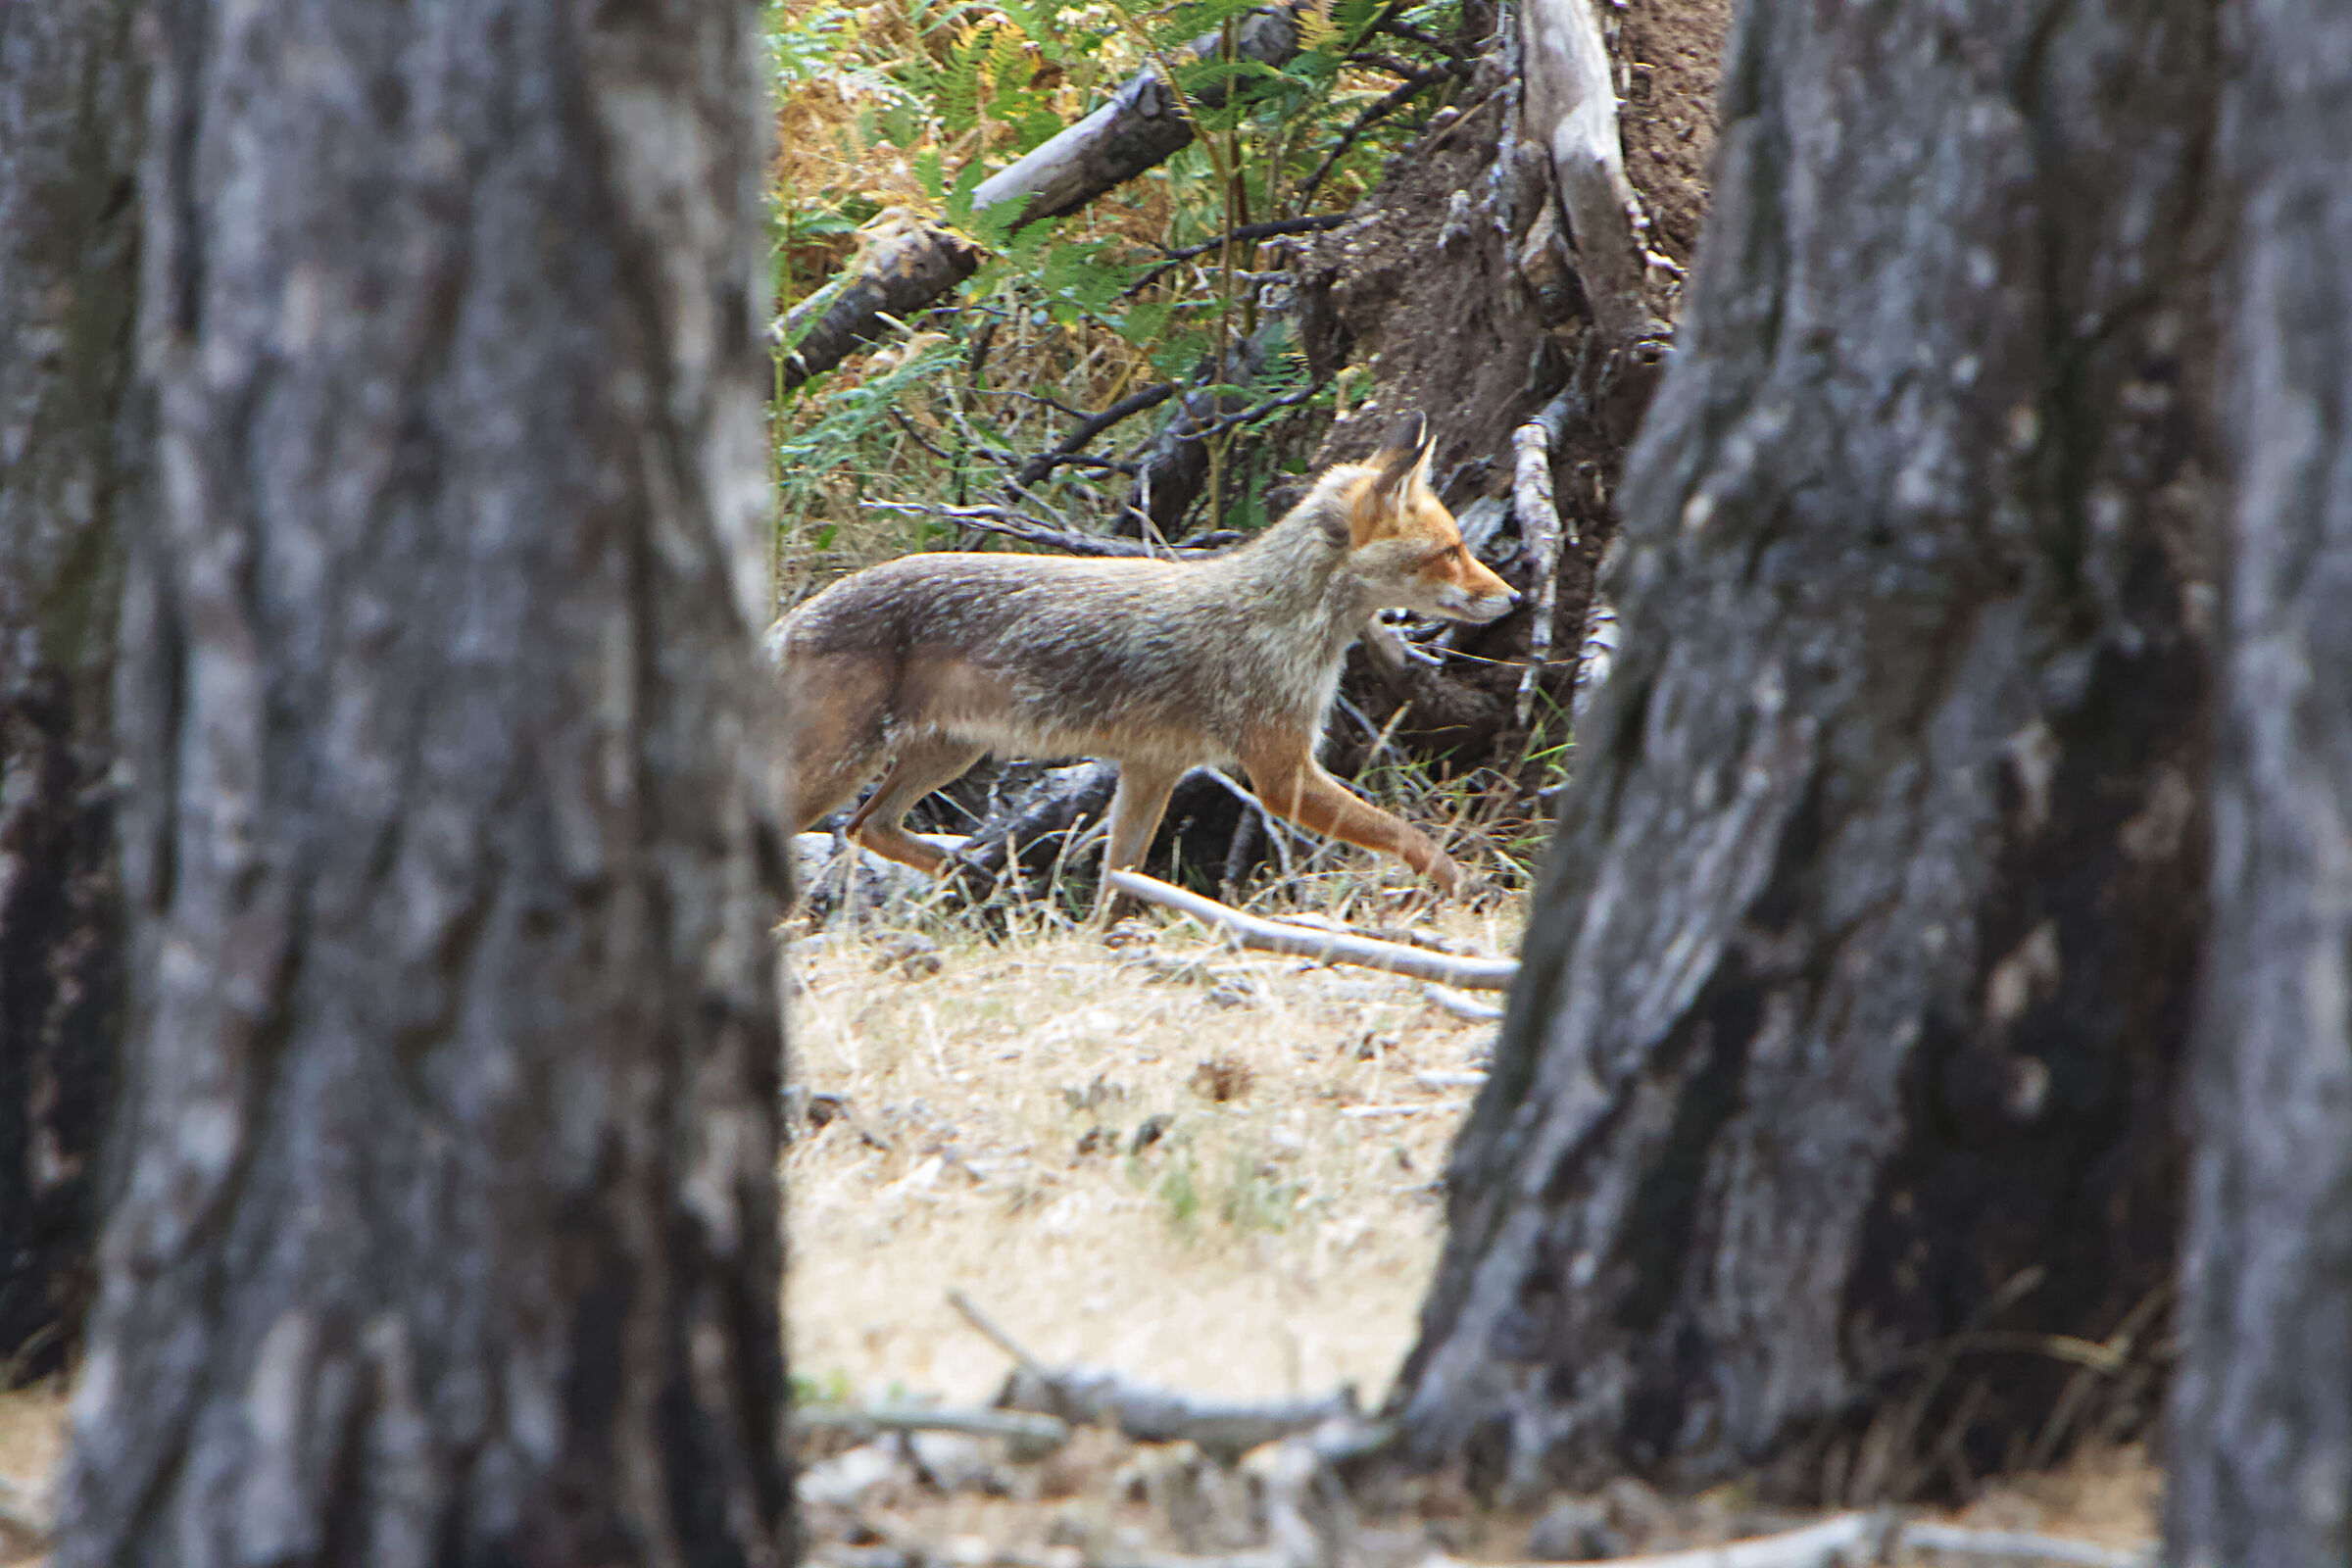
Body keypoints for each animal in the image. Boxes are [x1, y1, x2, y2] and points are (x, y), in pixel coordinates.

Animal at [771, 412, 1518, 913]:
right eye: (1450, 552)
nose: (1512, 597)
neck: (1285, 617)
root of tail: (796, 616)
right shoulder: (1281, 774)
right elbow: (1409, 837)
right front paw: (1472, 889)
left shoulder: (1152, 768)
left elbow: (1116, 886)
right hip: (847, 767)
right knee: (826, 829)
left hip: (945, 754)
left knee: (871, 827)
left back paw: (972, 875)